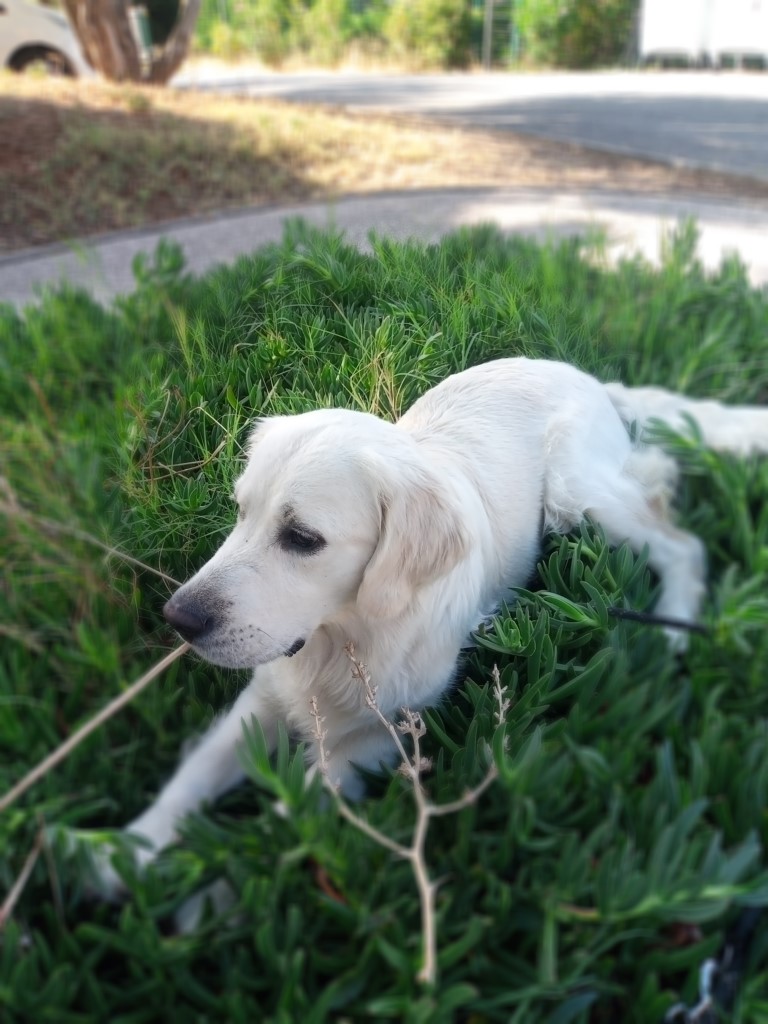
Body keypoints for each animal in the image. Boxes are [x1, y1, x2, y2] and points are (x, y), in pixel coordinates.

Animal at [95, 357, 768, 891]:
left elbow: (286, 819)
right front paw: (123, 854)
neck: (348, 638)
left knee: (682, 544)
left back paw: (674, 630)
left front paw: (216, 886)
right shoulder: (266, 695)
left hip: (579, 491)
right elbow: (192, 776)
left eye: (303, 538)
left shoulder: (387, 730)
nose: (178, 618)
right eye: (241, 512)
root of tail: (589, 377)